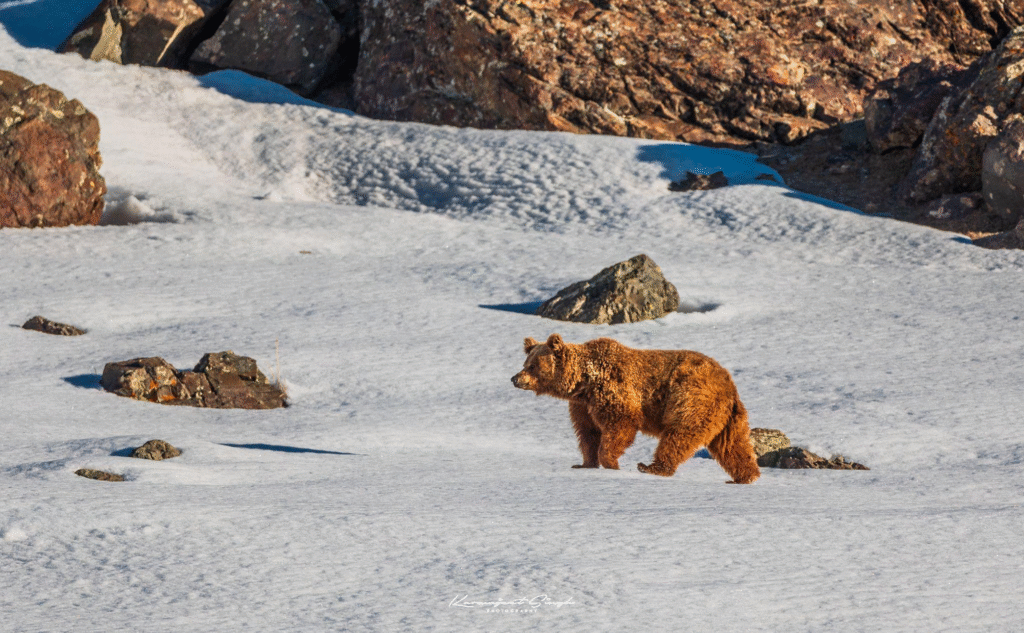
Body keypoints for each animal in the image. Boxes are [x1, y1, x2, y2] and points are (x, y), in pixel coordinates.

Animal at [511, 334, 759, 483]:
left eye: (532, 366)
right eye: (525, 363)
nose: (515, 378)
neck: (583, 382)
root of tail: (728, 382)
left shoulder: (613, 391)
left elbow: (620, 426)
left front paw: (610, 462)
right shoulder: (582, 406)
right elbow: (587, 433)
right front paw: (584, 464)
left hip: (692, 398)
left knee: (679, 435)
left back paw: (652, 467)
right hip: (727, 416)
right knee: (733, 445)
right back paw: (745, 476)